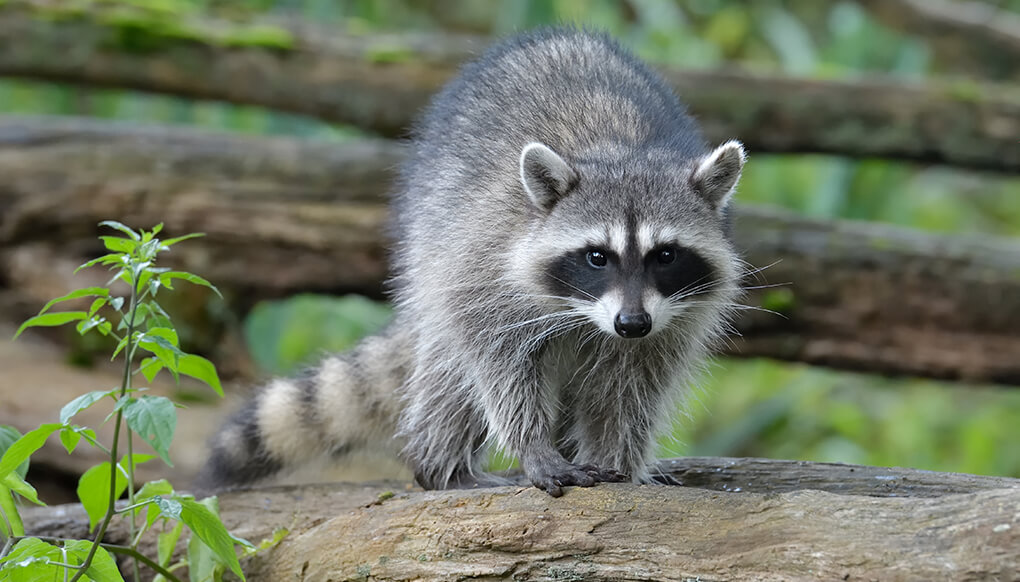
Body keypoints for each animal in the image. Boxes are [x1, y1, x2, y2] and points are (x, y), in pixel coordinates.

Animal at [198, 29, 746, 499]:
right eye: (597, 257)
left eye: (665, 255)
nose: (631, 323)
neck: (622, 153)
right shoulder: (487, 262)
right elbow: (496, 360)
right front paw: (533, 446)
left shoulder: (674, 317)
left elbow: (632, 388)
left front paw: (620, 462)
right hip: (431, 239)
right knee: (449, 373)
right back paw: (443, 465)